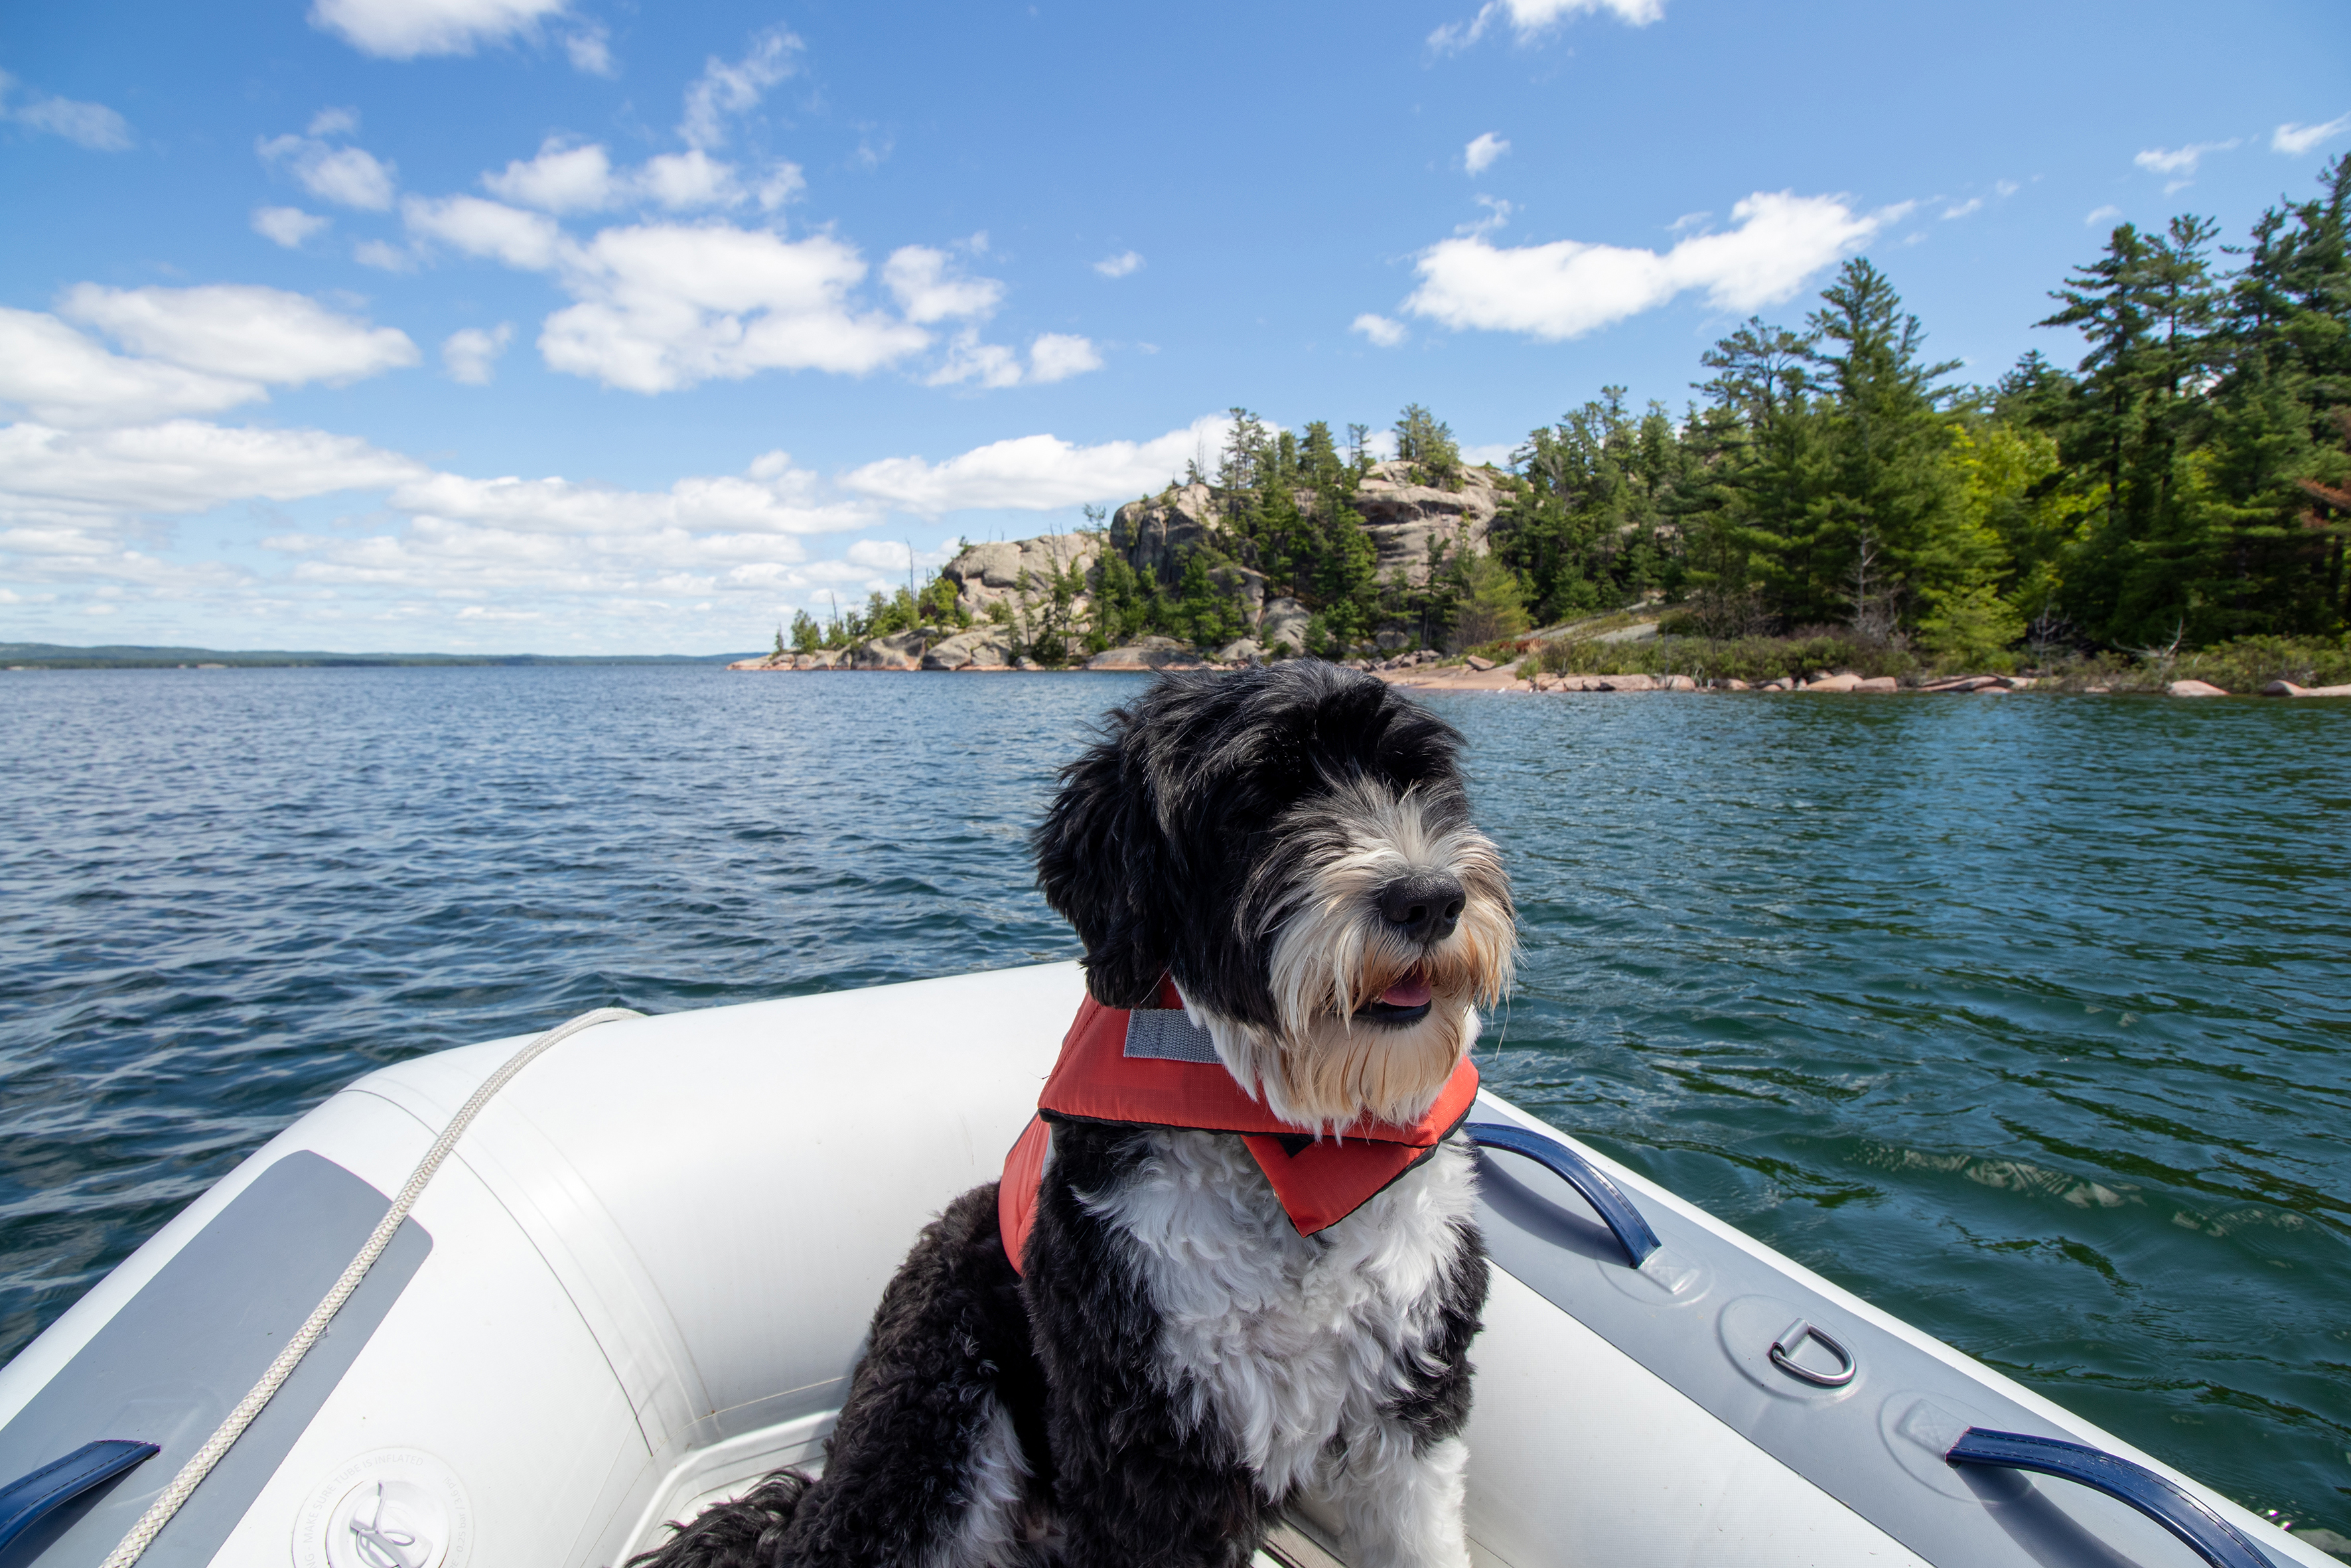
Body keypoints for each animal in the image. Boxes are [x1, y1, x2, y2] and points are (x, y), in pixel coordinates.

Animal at [634, 668, 1514, 1568]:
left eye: (1417, 780)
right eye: (1261, 796)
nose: (1430, 898)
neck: (1284, 1139)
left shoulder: (1409, 1394)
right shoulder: (1151, 1442)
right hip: (936, 1424)